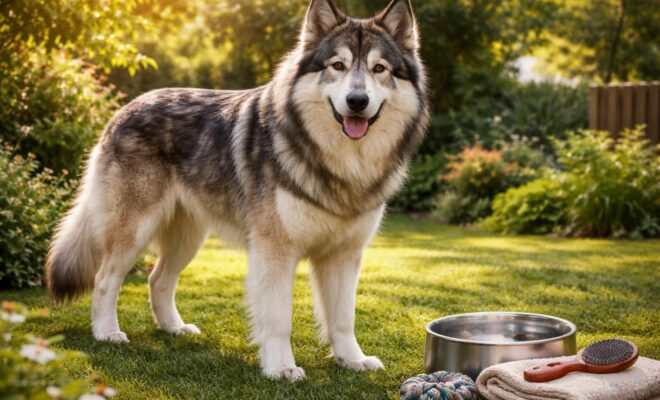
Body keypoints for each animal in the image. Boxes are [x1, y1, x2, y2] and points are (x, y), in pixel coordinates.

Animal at [45, 0, 428, 381]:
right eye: (338, 66)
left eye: (379, 69)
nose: (357, 101)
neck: (342, 165)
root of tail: (125, 107)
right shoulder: (275, 252)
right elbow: (279, 318)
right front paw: (281, 367)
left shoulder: (345, 256)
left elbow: (344, 320)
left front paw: (353, 360)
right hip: (134, 233)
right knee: (104, 279)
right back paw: (107, 333)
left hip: (188, 239)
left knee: (157, 280)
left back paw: (174, 328)